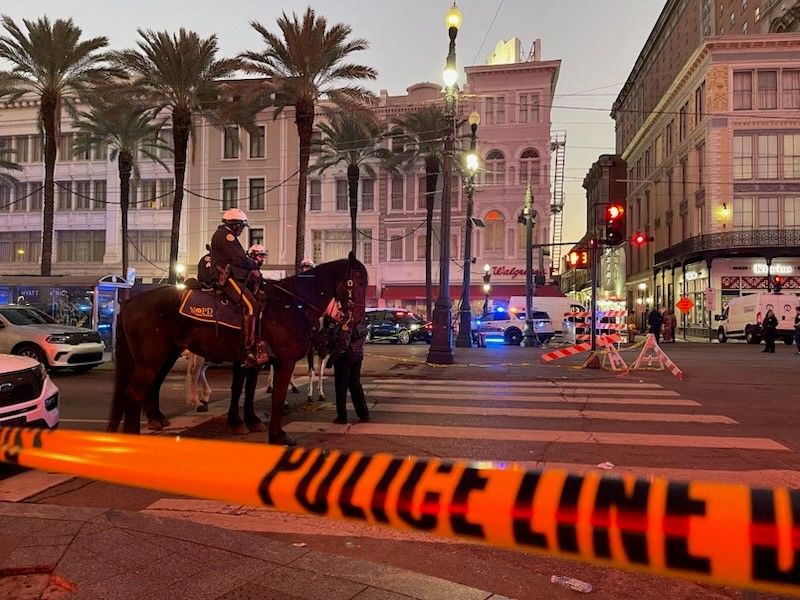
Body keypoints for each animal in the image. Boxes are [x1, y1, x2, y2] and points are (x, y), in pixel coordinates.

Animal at [106, 254, 368, 446]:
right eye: (359, 282)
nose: (357, 319)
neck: (292, 304)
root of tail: (129, 301)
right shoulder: (284, 361)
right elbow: (275, 396)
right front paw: (277, 435)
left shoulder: (254, 360)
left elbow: (247, 390)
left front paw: (248, 421)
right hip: (152, 359)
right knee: (137, 392)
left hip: (163, 356)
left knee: (150, 386)